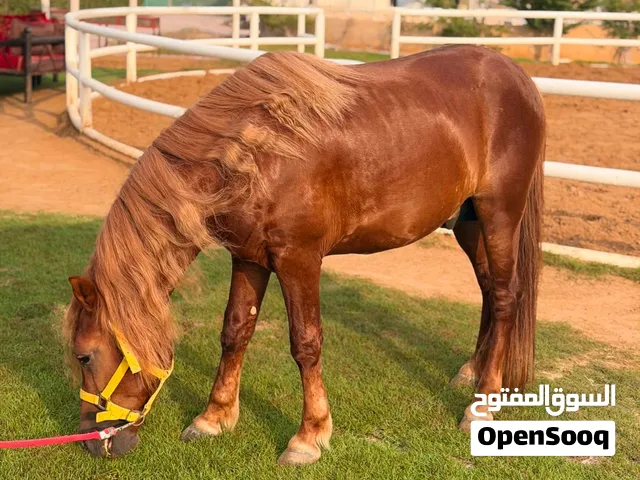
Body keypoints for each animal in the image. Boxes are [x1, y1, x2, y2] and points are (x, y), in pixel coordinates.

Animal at [64, 45, 545, 464]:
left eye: (84, 355)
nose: (91, 443)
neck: (255, 154)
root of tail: (516, 75)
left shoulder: (299, 260)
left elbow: (306, 344)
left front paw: (308, 437)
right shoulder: (249, 258)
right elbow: (235, 331)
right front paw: (213, 418)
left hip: (500, 213)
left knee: (506, 297)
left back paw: (483, 404)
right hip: (467, 222)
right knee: (488, 290)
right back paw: (471, 371)